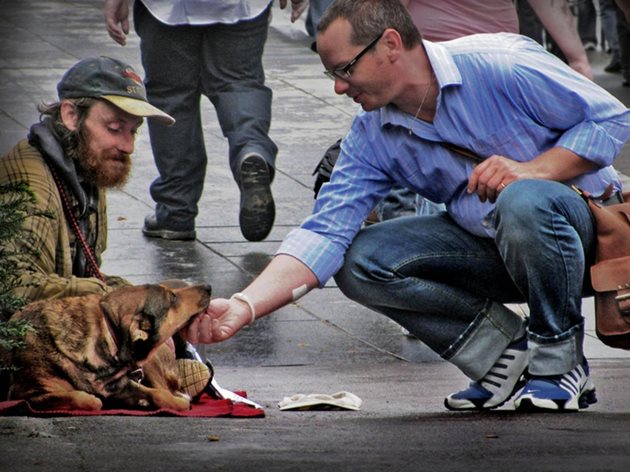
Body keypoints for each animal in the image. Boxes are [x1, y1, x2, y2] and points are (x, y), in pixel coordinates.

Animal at [6, 282, 212, 412]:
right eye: (173, 297)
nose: (208, 287)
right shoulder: (28, 394)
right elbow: (84, 399)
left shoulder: (123, 385)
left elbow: (159, 394)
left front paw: (169, 402)